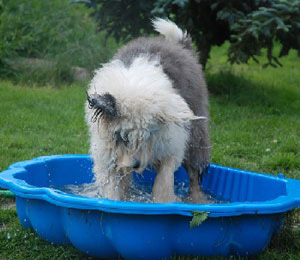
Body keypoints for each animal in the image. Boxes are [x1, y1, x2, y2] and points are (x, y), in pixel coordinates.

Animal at [85, 18, 210, 203]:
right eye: (122, 136)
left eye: (147, 135)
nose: (135, 164)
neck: (132, 87)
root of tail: (179, 46)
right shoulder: (109, 158)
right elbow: (112, 188)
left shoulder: (171, 147)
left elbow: (164, 182)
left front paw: (161, 202)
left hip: (196, 136)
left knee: (195, 174)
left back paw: (199, 201)